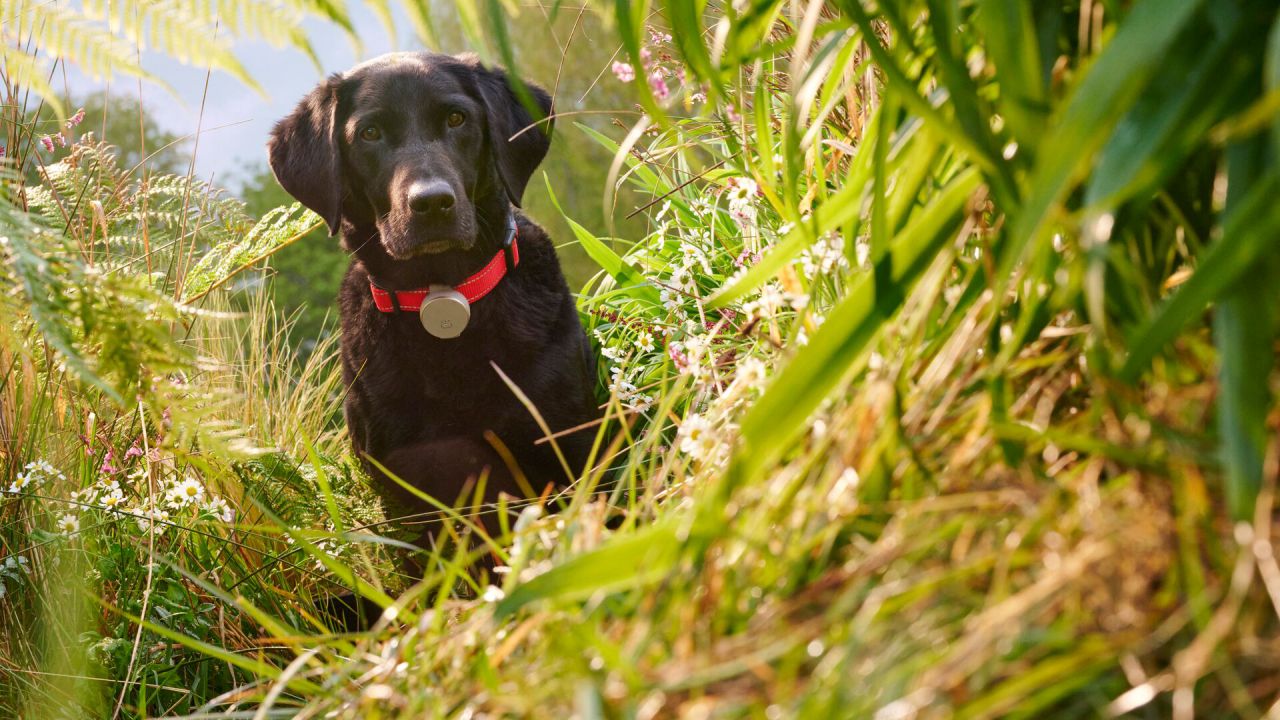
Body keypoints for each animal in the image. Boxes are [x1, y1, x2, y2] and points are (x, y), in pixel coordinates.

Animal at [270, 51, 599, 556]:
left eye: (457, 118)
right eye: (369, 133)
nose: (432, 202)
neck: (445, 299)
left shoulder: (570, 448)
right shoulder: (405, 500)